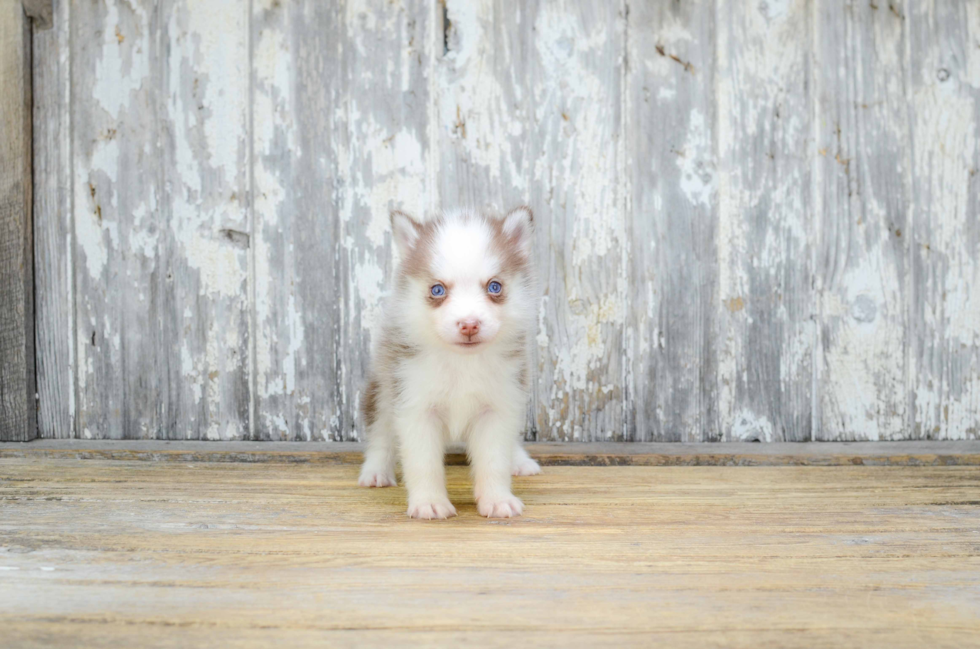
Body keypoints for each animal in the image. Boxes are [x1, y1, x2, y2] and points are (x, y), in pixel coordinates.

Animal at [360, 205, 544, 520]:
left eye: (495, 286)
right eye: (437, 290)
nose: (469, 324)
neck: (462, 363)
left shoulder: (497, 407)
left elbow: (494, 459)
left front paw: (497, 499)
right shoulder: (415, 406)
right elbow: (424, 463)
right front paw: (429, 502)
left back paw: (519, 460)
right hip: (384, 387)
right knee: (380, 431)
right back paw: (375, 470)